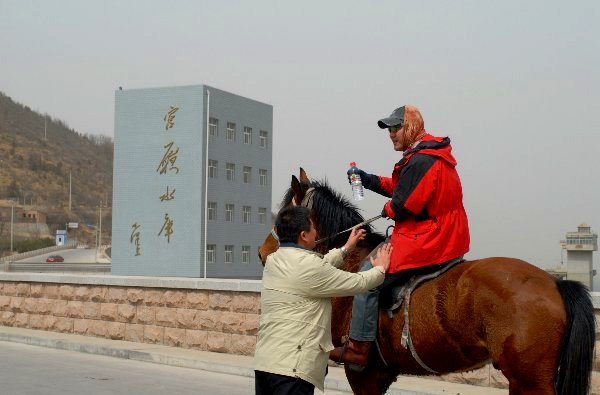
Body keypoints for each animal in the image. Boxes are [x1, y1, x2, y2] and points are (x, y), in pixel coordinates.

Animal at [258, 169, 596, 395]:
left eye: (284, 211)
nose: (263, 252)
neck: (352, 265)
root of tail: (555, 283)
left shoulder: (364, 374)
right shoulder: (381, 374)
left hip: (529, 380)